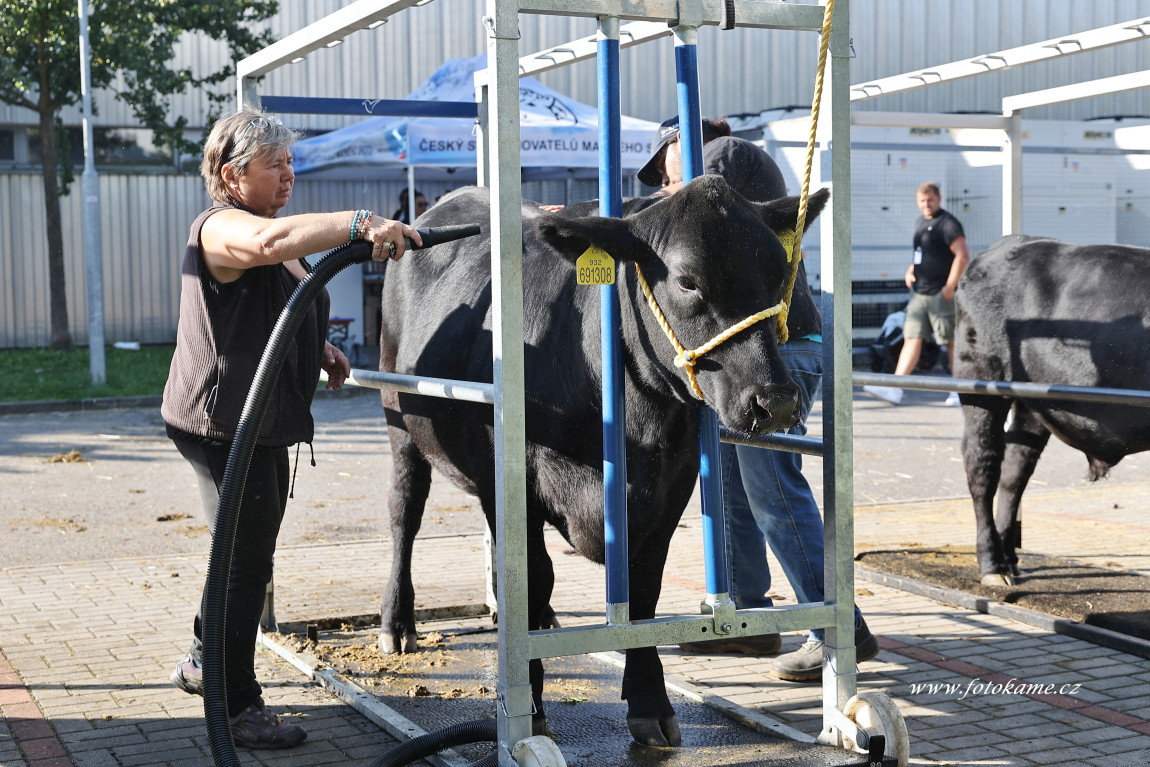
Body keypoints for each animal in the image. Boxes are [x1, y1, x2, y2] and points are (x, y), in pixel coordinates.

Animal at [377, 177, 828, 745]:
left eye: (778, 276)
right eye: (688, 281)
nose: (777, 401)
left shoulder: (672, 488)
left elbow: (644, 592)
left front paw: (650, 702)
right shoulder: (516, 483)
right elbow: (535, 575)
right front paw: (530, 704)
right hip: (398, 415)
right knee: (405, 512)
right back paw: (397, 623)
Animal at [952, 231, 1150, 584]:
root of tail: (1011, 243)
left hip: (1034, 404)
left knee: (1015, 470)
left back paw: (1009, 558)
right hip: (981, 383)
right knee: (982, 465)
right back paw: (992, 564)